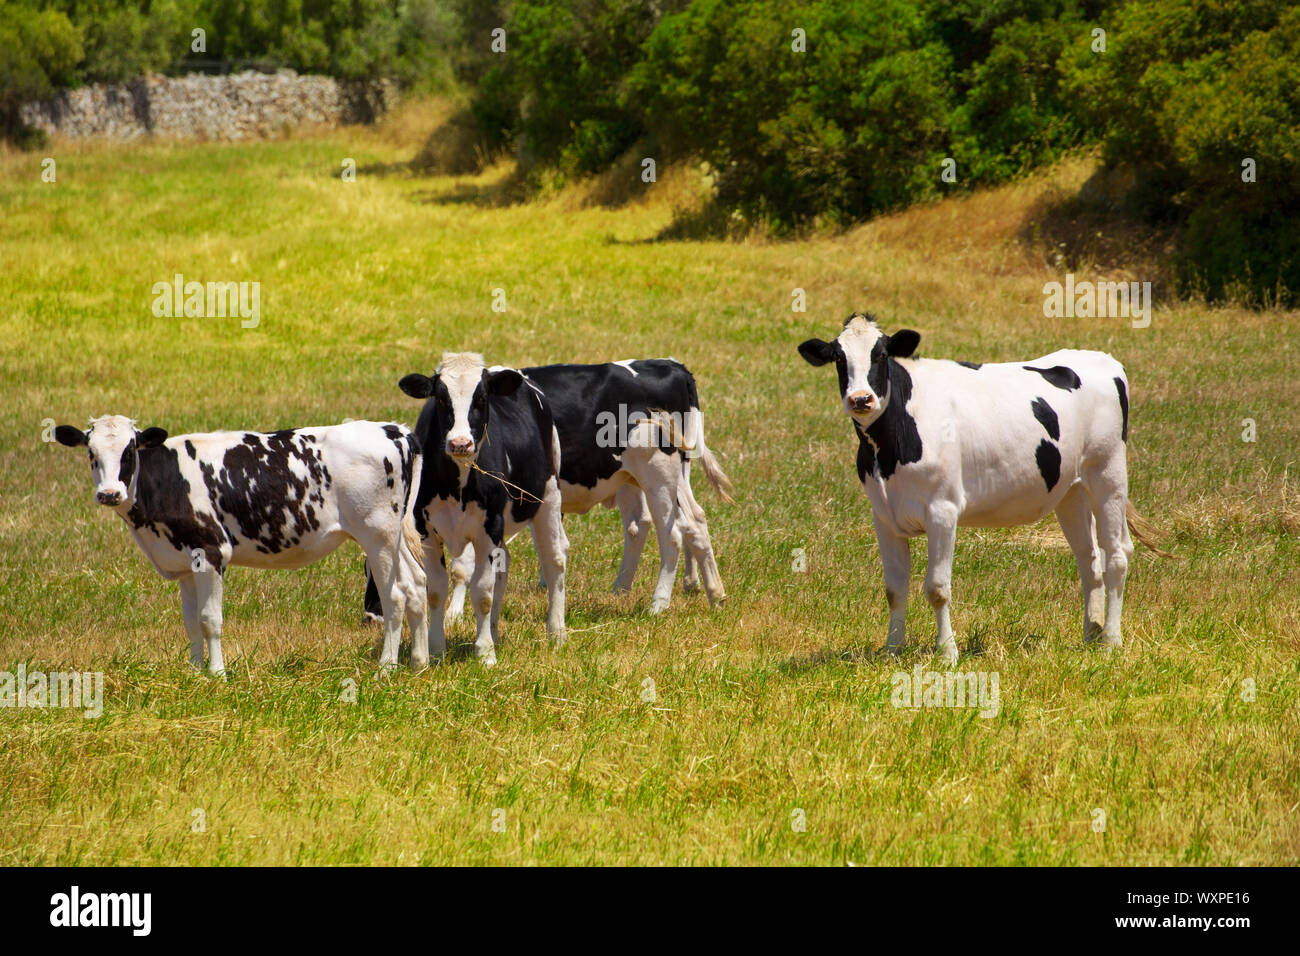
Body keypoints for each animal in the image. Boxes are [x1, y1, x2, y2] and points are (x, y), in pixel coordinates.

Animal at [55, 416, 426, 676]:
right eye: (91, 452)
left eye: (130, 450)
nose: (109, 494)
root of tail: (393, 429)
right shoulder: (184, 563)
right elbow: (190, 621)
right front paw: (194, 672)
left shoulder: (211, 552)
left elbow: (209, 619)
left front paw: (217, 674)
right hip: (393, 538)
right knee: (416, 585)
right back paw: (420, 661)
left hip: (376, 535)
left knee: (394, 595)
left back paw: (386, 667)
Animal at [364, 356, 733, 621]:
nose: (370, 616)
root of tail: (671, 365)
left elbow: (462, 565)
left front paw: (455, 614)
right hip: (644, 478)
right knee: (670, 524)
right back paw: (695, 591)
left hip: (658, 473)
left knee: (674, 531)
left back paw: (660, 603)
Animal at [395, 351, 569, 665]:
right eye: (441, 398)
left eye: (482, 398)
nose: (460, 443)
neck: (457, 483)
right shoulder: (426, 530)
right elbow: (436, 590)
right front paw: (436, 650)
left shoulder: (488, 529)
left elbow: (483, 592)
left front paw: (485, 652)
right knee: (504, 565)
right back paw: (496, 632)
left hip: (548, 497)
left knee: (554, 561)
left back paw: (556, 631)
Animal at [795, 314, 1175, 665]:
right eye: (839, 357)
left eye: (882, 354)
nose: (861, 399)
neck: (889, 445)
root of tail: (1103, 358)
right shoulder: (884, 516)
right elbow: (894, 588)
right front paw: (891, 650)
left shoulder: (942, 509)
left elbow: (937, 588)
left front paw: (947, 652)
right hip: (1071, 490)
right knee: (1088, 559)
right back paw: (1090, 634)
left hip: (1108, 472)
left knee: (1116, 554)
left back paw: (1111, 640)